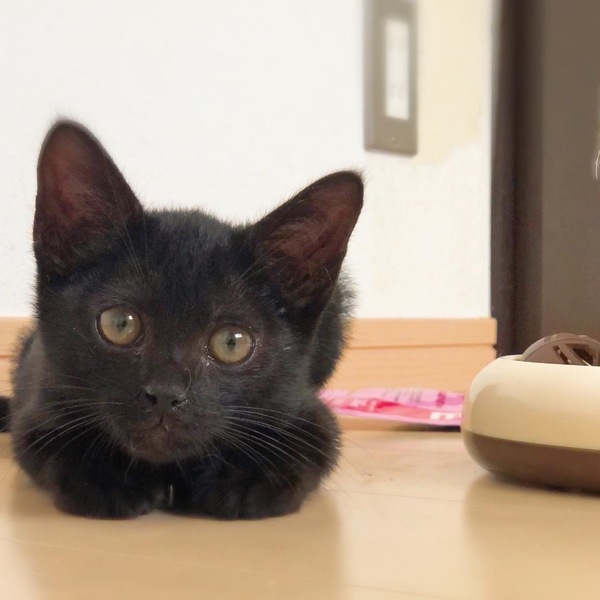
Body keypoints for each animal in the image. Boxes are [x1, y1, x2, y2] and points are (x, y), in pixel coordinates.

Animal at [0, 121, 363, 520]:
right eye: (120, 324)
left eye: (232, 342)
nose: (165, 394)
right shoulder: (38, 402)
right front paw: (111, 479)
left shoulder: (309, 412)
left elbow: (309, 446)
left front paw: (240, 481)